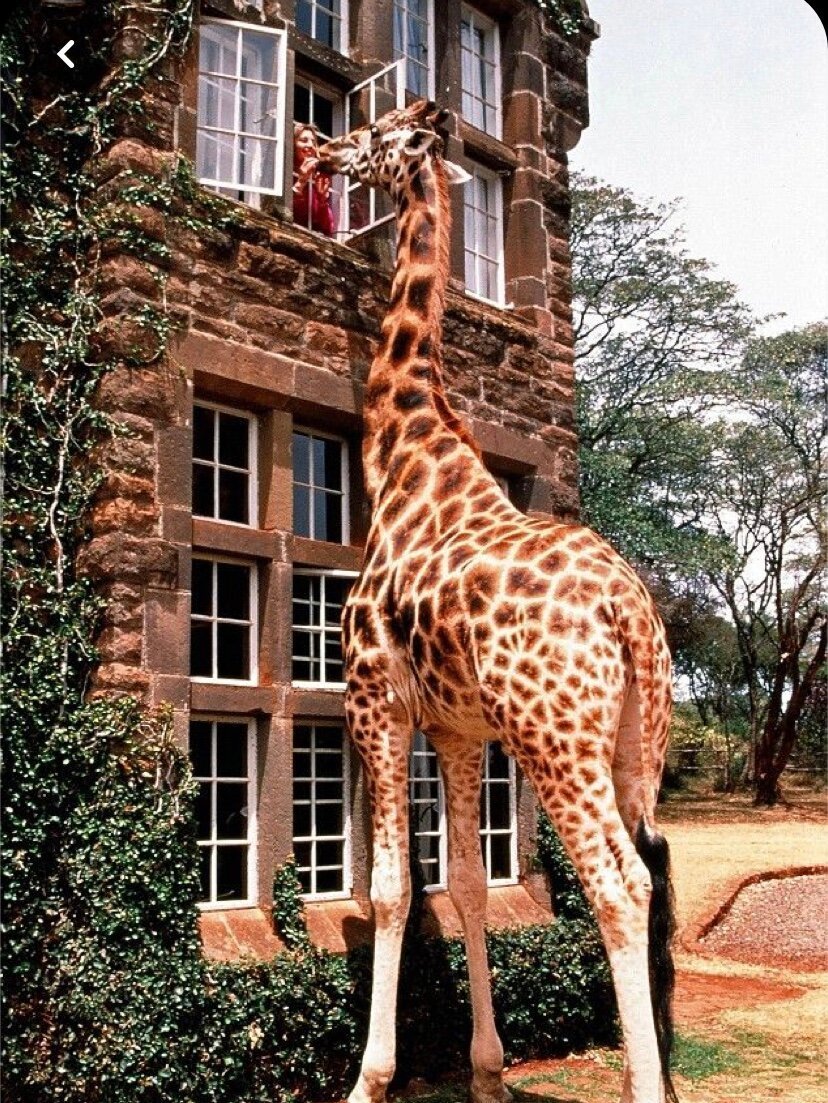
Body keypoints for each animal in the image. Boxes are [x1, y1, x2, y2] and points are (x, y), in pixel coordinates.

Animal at [313, 100, 677, 1103]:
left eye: (376, 137)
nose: (320, 147)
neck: (405, 458)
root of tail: (632, 616)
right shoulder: (458, 726)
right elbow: (468, 884)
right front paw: (485, 1068)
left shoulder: (375, 698)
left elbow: (393, 887)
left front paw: (370, 1076)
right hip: (627, 745)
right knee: (649, 873)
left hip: (556, 738)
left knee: (616, 884)